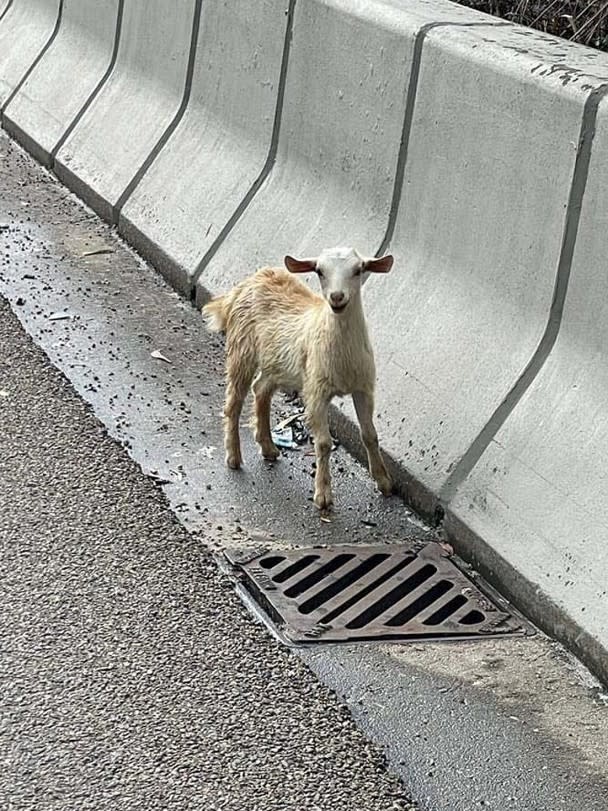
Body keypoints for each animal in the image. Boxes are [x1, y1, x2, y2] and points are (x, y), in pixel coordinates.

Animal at [204, 247, 394, 510]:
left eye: (358, 270)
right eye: (320, 271)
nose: (336, 297)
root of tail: (243, 285)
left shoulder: (363, 388)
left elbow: (370, 436)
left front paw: (384, 482)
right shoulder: (315, 391)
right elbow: (323, 443)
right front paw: (323, 495)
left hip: (276, 364)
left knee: (260, 388)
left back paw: (267, 446)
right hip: (241, 349)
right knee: (234, 402)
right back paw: (233, 456)